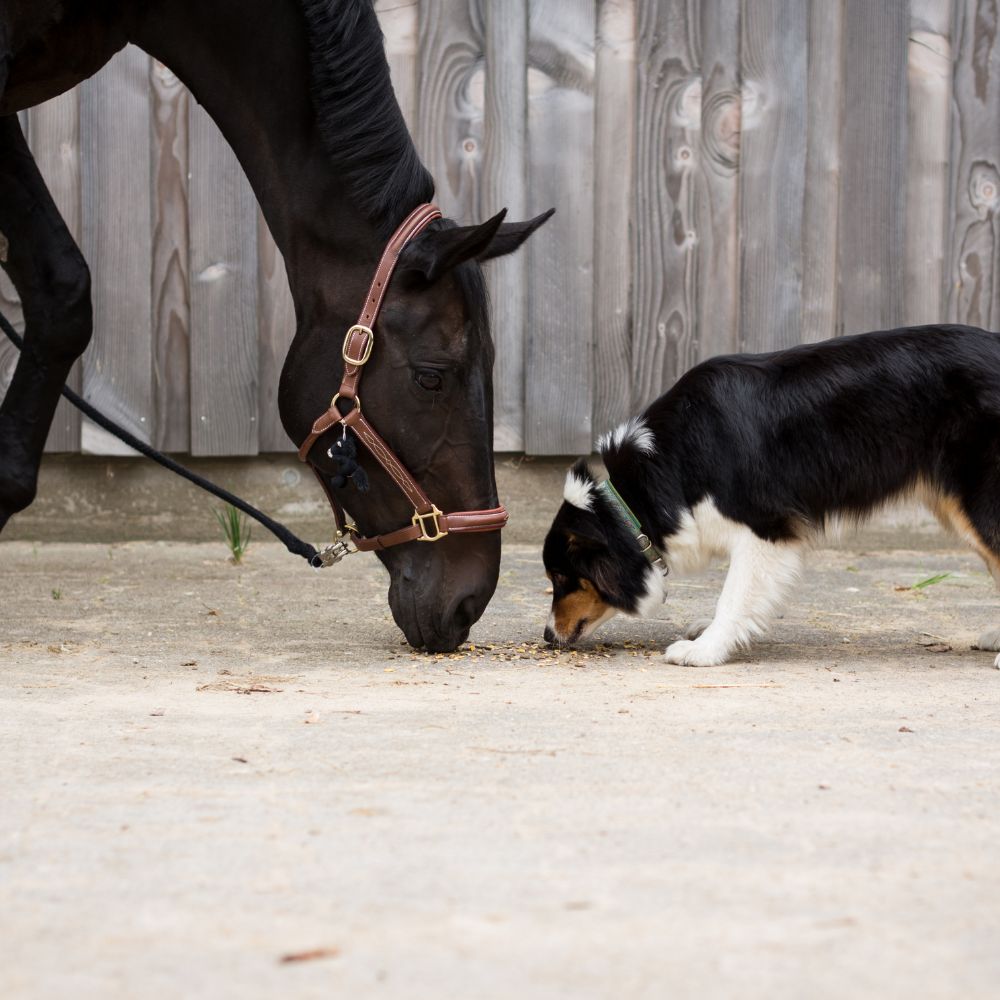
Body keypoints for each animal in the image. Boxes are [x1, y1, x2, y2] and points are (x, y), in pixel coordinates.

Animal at [544, 328, 1000, 668]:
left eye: (562, 578)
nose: (547, 636)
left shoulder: (764, 529)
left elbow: (734, 595)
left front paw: (705, 649)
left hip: (980, 504)